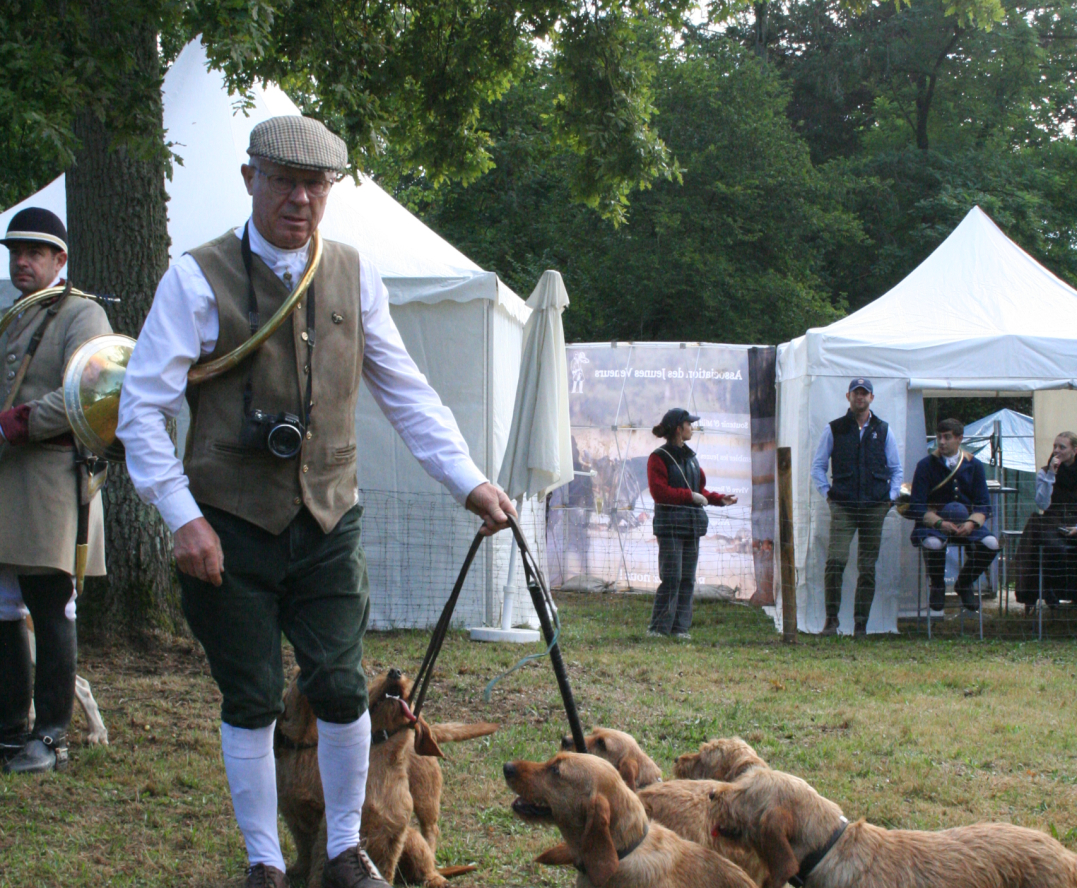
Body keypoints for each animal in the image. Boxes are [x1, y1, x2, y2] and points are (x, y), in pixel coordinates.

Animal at [277, 668, 497, 887]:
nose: (395, 671)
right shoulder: (300, 818)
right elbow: (311, 857)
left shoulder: (393, 837)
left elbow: (384, 869)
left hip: (424, 803)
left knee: (430, 836)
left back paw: (436, 877)